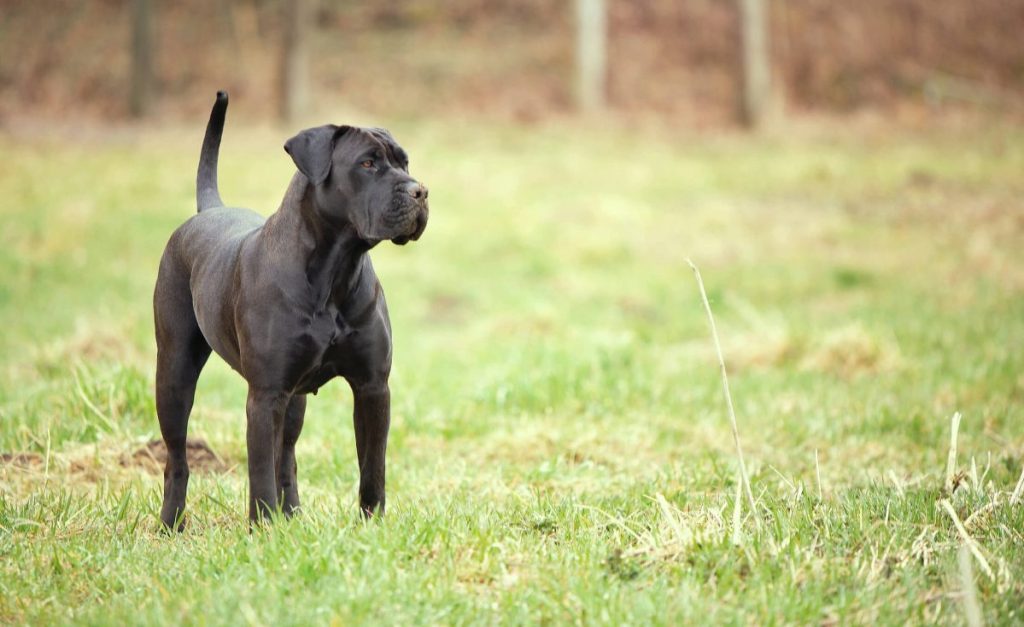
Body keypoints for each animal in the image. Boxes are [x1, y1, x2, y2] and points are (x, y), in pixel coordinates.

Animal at [151, 90, 428, 524]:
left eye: (405, 162)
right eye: (367, 163)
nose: (420, 191)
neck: (335, 269)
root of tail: (210, 209)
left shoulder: (371, 387)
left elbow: (372, 467)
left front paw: (372, 525)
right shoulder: (266, 394)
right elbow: (260, 471)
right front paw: (263, 527)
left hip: (295, 398)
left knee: (287, 456)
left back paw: (293, 516)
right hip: (175, 373)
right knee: (177, 457)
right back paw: (170, 523)